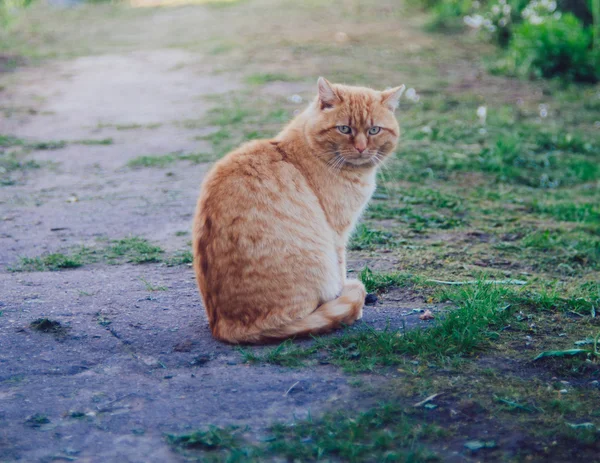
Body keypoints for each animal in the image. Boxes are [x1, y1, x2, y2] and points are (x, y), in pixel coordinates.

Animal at [195, 77, 406, 344]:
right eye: (344, 129)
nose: (360, 148)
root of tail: (224, 328)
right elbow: (340, 272)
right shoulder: (337, 236)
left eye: (374, 130)